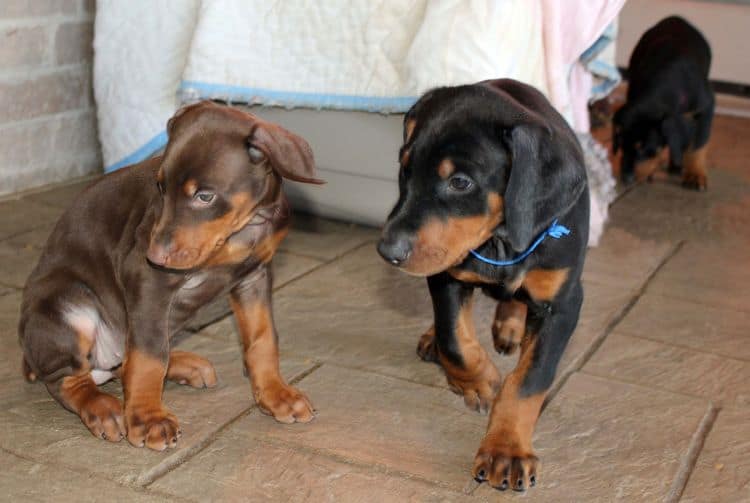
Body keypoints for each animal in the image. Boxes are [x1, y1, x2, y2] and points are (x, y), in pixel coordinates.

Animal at [18, 100, 324, 450]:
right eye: (160, 187)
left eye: (205, 196)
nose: (155, 255)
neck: (242, 229)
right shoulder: (149, 280)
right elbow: (149, 355)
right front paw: (148, 419)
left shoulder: (254, 277)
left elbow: (262, 338)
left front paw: (276, 394)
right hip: (69, 307)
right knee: (69, 379)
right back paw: (103, 407)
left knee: (126, 360)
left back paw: (183, 366)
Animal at [378, 79, 592, 492]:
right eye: (404, 168)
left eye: (460, 182)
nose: (387, 250)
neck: (500, 240)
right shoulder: (447, 273)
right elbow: (454, 338)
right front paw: (479, 381)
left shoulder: (563, 304)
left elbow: (529, 380)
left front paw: (506, 450)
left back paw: (510, 325)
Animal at [612, 15, 712, 190]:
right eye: (621, 145)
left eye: (644, 148)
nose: (627, 179)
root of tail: (675, 18)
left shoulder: (706, 108)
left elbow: (698, 145)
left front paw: (695, 174)